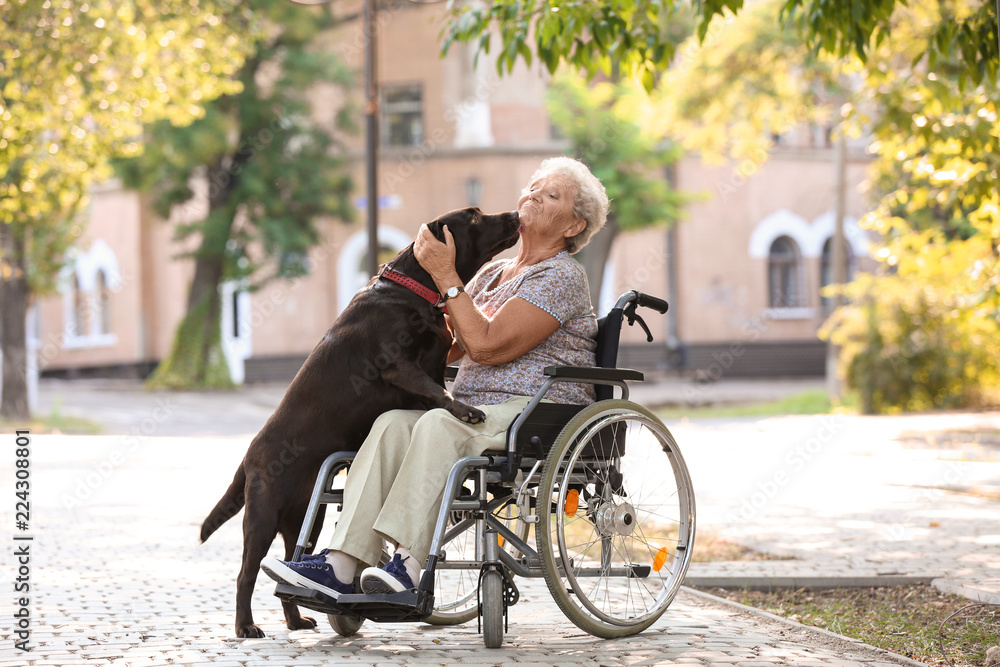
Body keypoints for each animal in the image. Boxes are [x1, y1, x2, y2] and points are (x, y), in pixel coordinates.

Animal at [199, 207, 520, 636]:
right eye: (473, 217)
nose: (516, 213)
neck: (416, 290)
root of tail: (248, 456)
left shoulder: (430, 368)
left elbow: (432, 403)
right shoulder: (401, 366)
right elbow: (440, 395)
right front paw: (466, 410)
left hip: (306, 516)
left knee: (287, 564)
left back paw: (297, 618)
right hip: (263, 515)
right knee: (246, 573)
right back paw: (246, 626)